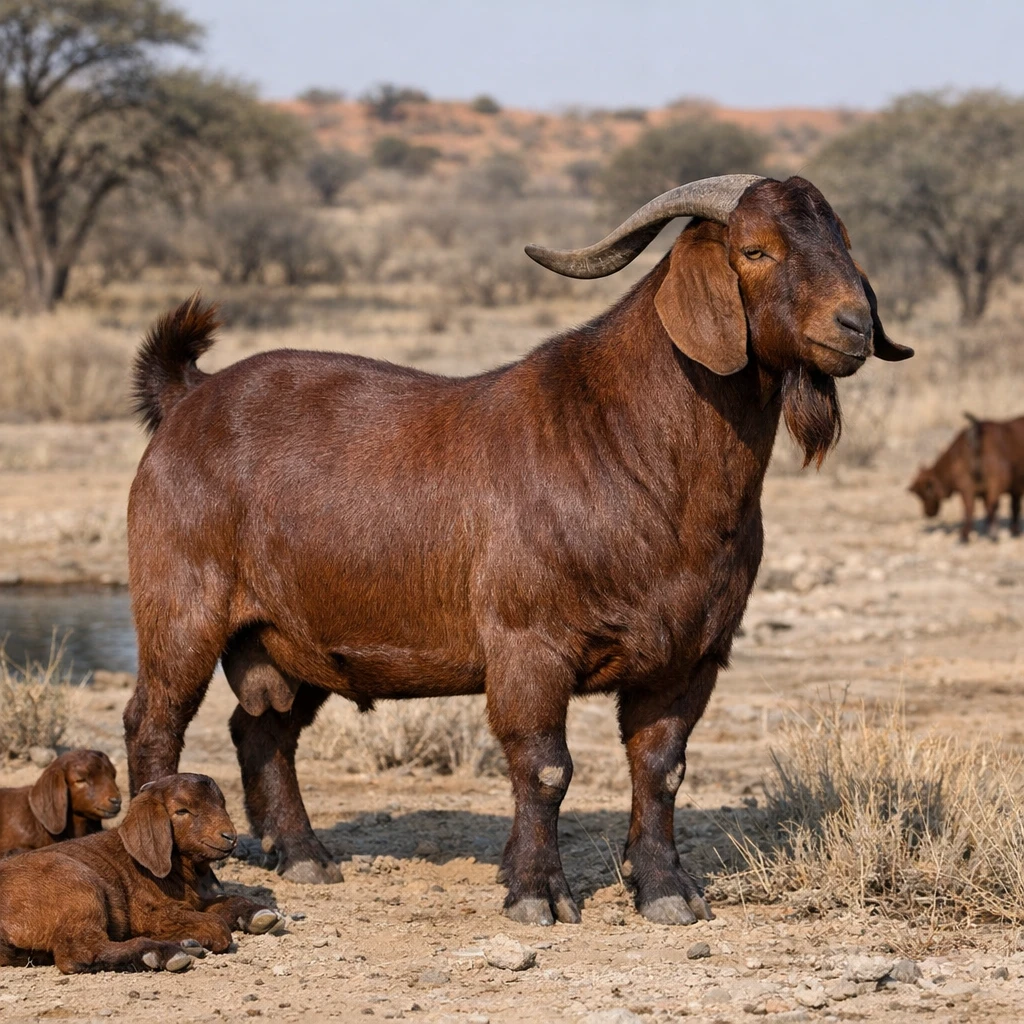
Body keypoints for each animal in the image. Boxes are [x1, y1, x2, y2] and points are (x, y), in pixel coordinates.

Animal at [0, 773, 281, 973]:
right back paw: (161, 954)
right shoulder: (149, 914)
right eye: (182, 811)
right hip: (77, 888)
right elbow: (215, 925)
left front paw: (260, 915)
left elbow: (222, 902)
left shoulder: (191, 902)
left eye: (221, 805)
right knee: (79, 952)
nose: (229, 837)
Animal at [124, 175, 912, 927]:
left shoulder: (690, 655)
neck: (629, 447)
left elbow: (661, 768)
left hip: (291, 638)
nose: (853, 326)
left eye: (842, 239)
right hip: (181, 615)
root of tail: (188, 399)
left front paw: (666, 890)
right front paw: (536, 892)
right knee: (154, 722)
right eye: (755, 249)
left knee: (263, 728)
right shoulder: (529, 646)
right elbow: (545, 769)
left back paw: (304, 855)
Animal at [910, 413, 1024, 541]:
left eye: (925, 495)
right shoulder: (971, 488)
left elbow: (1013, 506)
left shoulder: (1010, 486)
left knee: (990, 505)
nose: (928, 513)